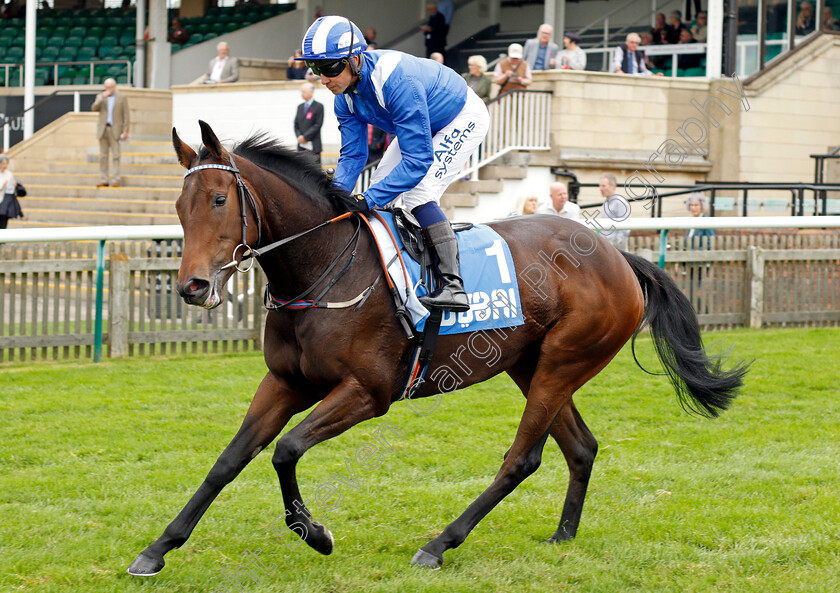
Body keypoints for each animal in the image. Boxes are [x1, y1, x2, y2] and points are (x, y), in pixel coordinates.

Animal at [128, 121, 744, 572]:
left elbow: (286, 450)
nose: (192, 286)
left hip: (563, 362)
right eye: (179, 206)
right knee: (581, 447)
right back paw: (563, 535)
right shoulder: (286, 382)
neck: (324, 268)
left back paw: (439, 544)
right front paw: (158, 548)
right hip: (532, 363)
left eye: (217, 199)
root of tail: (618, 257)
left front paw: (316, 534)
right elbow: (229, 460)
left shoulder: (368, 392)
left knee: (523, 458)